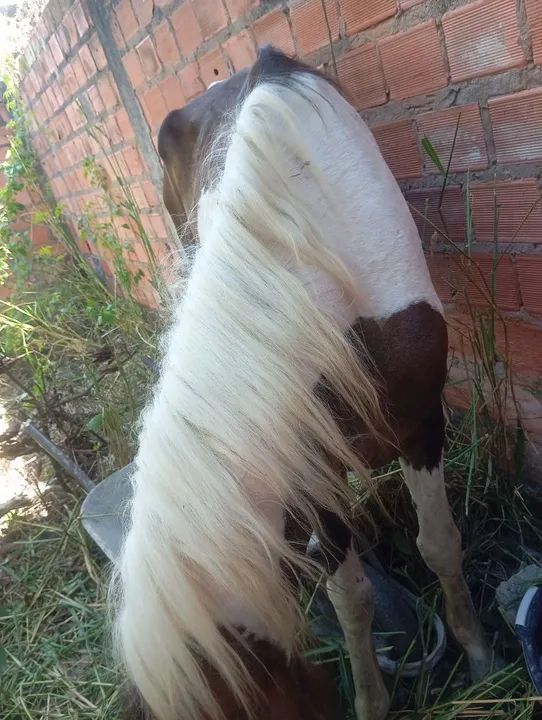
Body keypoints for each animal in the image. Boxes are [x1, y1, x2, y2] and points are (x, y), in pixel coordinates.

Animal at [114, 47, 495, 720]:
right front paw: (372, 699)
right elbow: (351, 597)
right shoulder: (312, 478)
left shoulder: (424, 423)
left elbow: (440, 545)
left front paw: (479, 660)